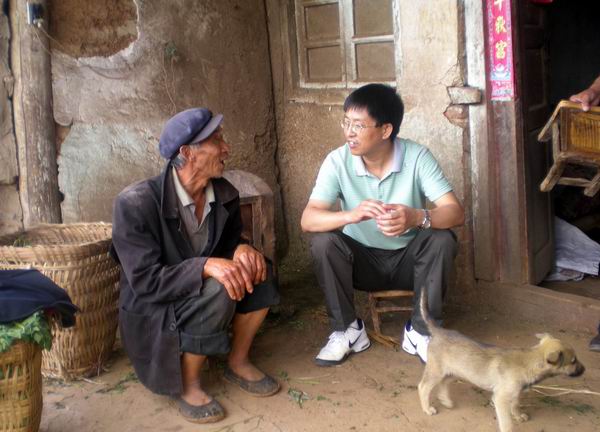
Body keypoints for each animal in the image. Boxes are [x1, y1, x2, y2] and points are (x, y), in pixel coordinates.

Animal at [416, 292, 585, 432]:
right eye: (573, 361)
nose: (584, 369)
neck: (530, 361)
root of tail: (438, 331)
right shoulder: (500, 398)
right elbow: (506, 423)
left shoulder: (515, 393)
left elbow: (515, 406)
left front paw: (518, 415)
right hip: (436, 371)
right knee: (423, 387)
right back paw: (427, 409)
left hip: (455, 371)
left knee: (443, 383)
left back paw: (446, 401)